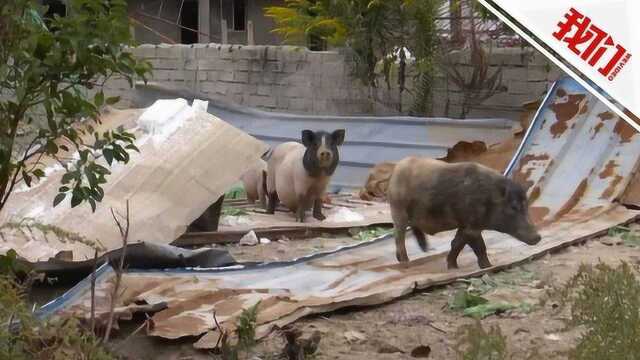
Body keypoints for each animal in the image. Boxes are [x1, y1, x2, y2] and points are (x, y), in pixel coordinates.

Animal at [384, 156, 540, 268]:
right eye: (513, 207)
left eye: (526, 205)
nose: (538, 237)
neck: (488, 200)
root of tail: (396, 168)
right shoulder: (471, 226)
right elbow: (478, 246)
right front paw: (489, 266)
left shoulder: (466, 225)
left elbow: (456, 243)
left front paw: (453, 267)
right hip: (398, 209)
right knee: (399, 236)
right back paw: (406, 262)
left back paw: (427, 250)